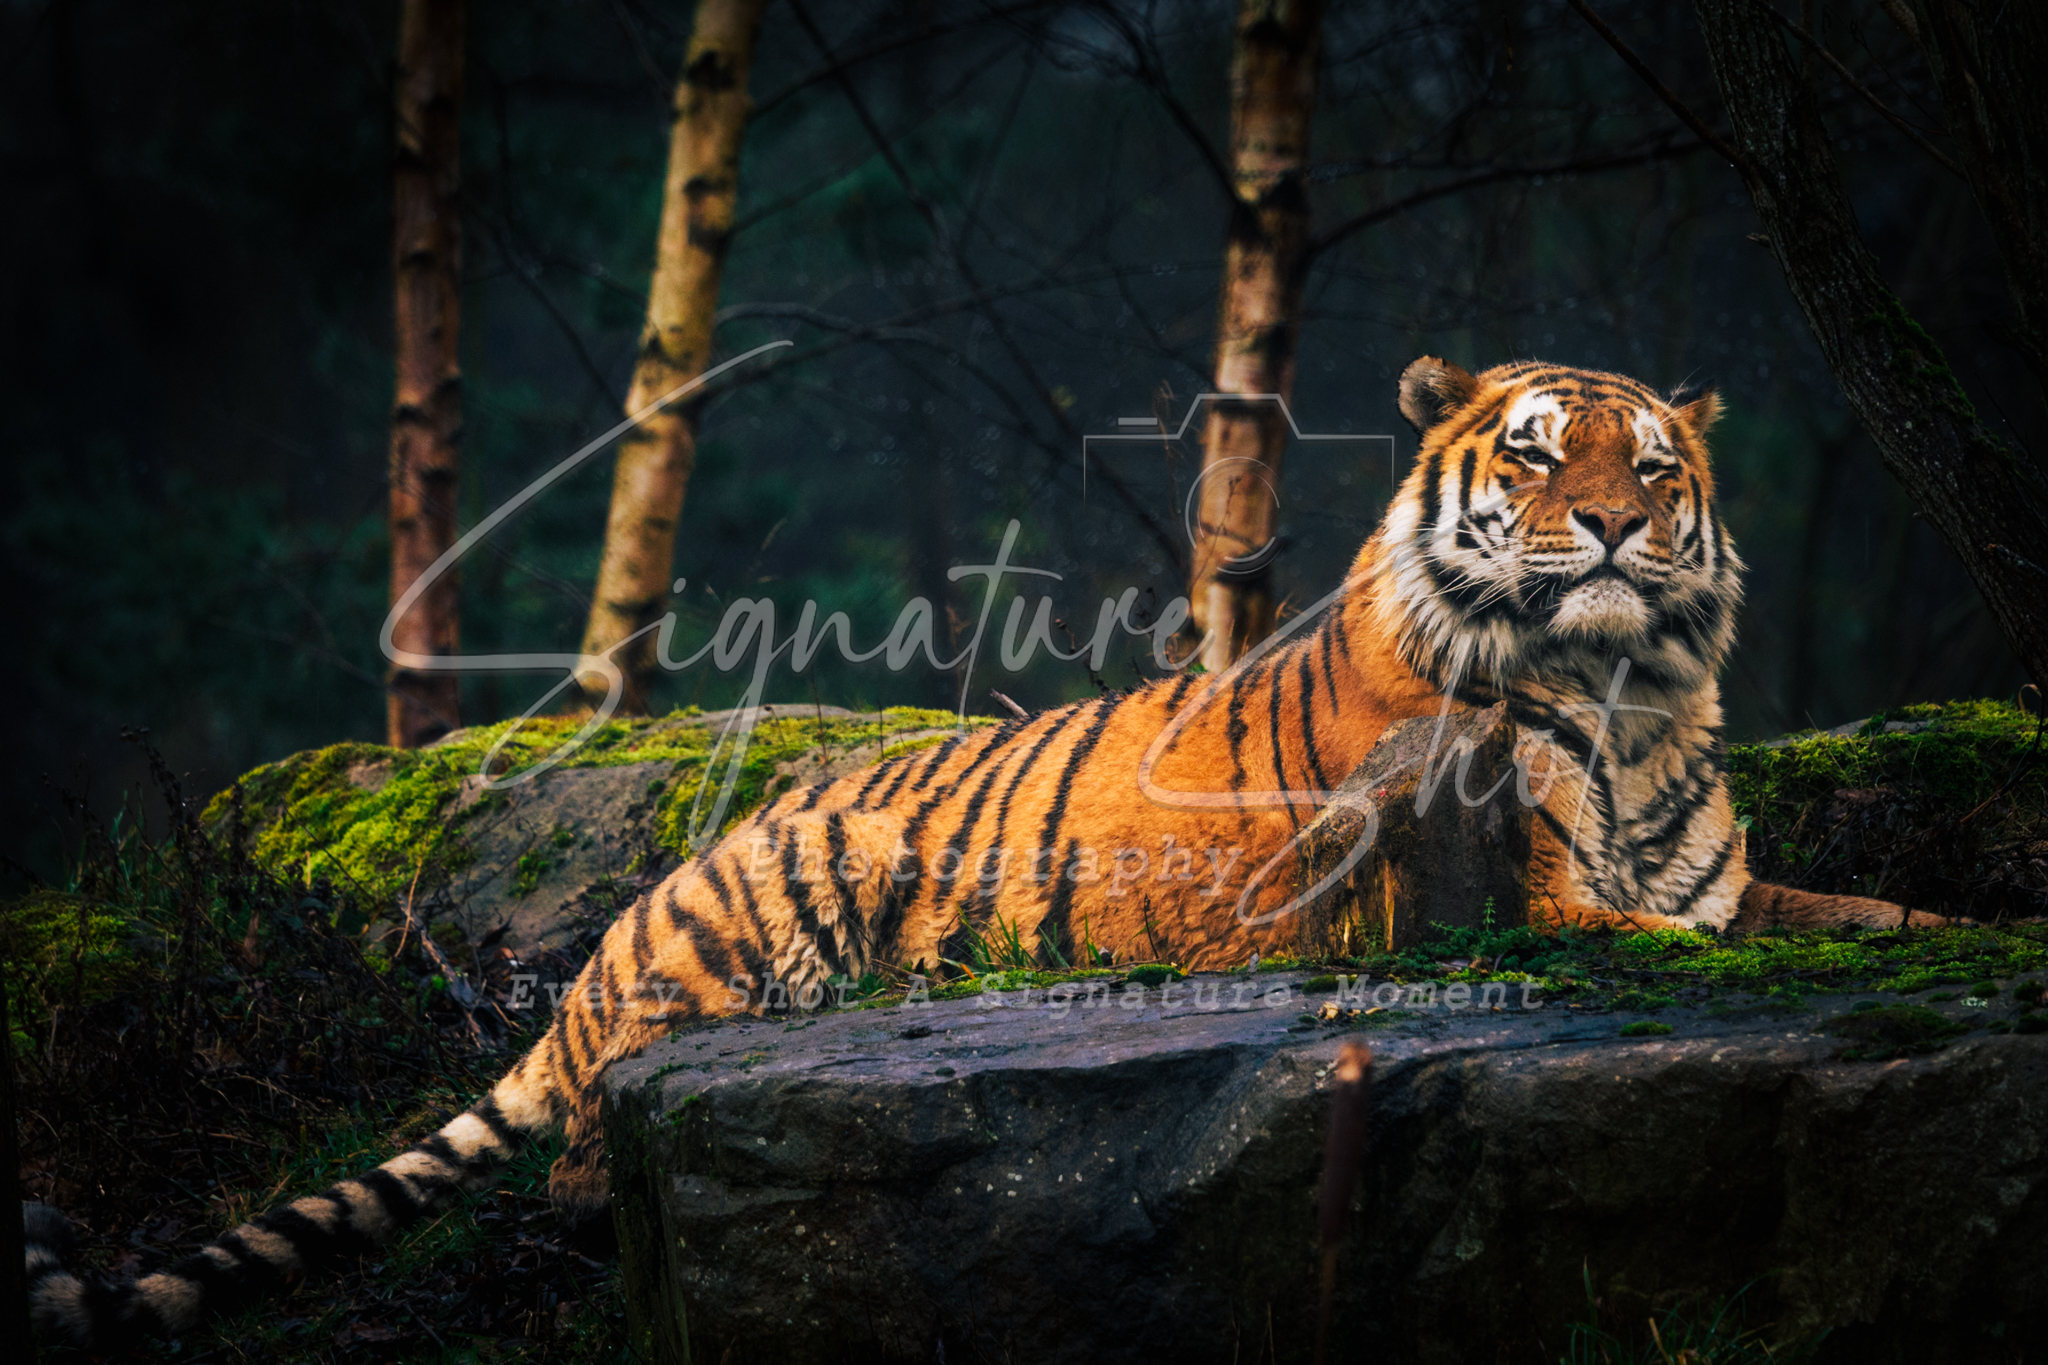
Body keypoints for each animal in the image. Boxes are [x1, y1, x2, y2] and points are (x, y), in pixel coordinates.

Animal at [23, 358, 1939, 1347]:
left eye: (1652, 462)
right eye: (1535, 457)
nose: (1610, 524)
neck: (1632, 700)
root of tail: (587, 966)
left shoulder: (1710, 877)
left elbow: (1882, 906)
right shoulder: (1534, 913)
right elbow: (1727, 949)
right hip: (766, 906)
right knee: (583, 1148)